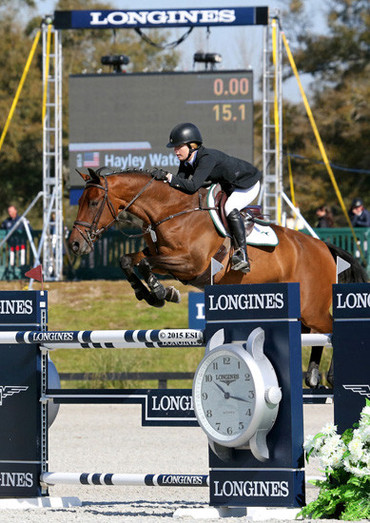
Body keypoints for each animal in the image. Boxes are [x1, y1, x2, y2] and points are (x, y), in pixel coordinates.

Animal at [68, 170, 368, 386]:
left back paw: (330, 376)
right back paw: (314, 375)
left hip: (312, 307)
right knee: (317, 335)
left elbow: (143, 263)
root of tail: (323, 247)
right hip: (303, 312)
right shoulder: (162, 255)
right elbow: (129, 260)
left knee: (330, 328)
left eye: (93, 202)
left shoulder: (190, 264)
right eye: (79, 201)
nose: (74, 245)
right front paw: (148, 294)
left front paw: (162, 293)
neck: (170, 211)